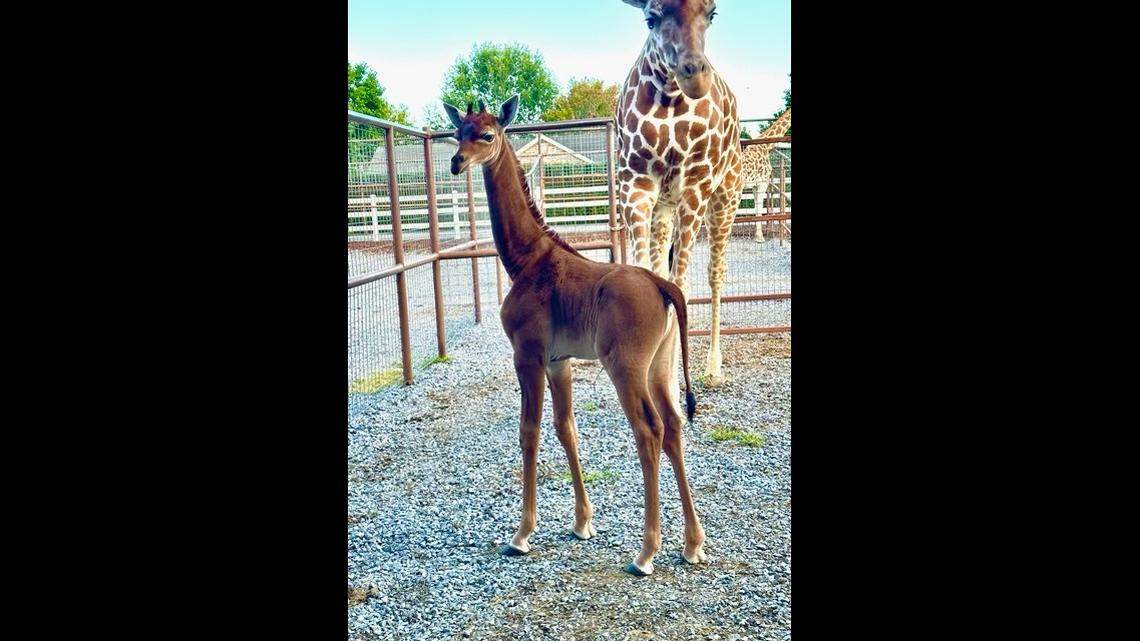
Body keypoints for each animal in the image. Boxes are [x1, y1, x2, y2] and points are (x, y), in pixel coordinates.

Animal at [614, 0, 743, 387]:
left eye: (712, 13)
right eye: (650, 18)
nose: (694, 75)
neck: (669, 99)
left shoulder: (695, 187)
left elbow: (680, 284)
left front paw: (670, 382)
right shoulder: (635, 184)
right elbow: (648, 276)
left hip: (725, 198)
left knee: (716, 271)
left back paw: (713, 368)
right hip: (664, 207)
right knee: (662, 267)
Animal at [740, 109, 791, 242]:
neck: (766, 145)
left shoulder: (755, 185)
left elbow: (757, 207)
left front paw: (757, 236)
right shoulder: (762, 183)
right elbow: (759, 207)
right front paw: (760, 237)